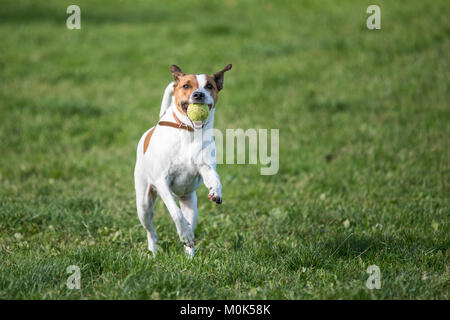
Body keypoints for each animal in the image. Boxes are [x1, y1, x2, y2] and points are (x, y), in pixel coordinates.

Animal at [134, 63, 232, 256]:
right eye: (186, 85)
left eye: (209, 86)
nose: (198, 94)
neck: (189, 131)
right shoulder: (162, 181)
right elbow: (175, 212)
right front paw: (183, 232)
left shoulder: (205, 166)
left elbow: (215, 178)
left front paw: (216, 191)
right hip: (143, 204)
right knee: (151, 230)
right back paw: (153, 252)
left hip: (191, 204)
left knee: (191, 224)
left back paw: (190, 255)